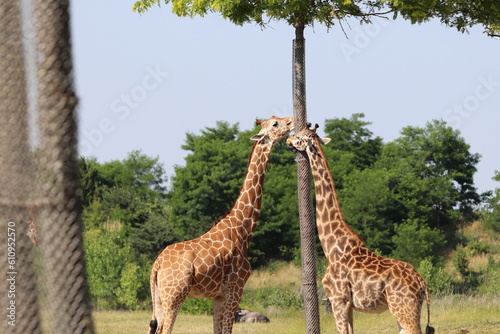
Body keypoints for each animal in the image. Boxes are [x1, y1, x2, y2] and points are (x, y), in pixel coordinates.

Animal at [150, 115, 294, 334]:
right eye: (275, 123)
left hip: (158, 297)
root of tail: (156, 266)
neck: (241, 230)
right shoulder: (235, 289)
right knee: (165, 329)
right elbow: (227, 330)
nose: (292, 121)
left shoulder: (218, 296)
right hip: (174, 294)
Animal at [286, 124, 434, 334]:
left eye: (299, 136)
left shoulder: (338, 300)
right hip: (404, 309)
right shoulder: (348, 305)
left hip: (404, 307)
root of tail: (422, 283)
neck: (331, 247)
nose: (288, 140)